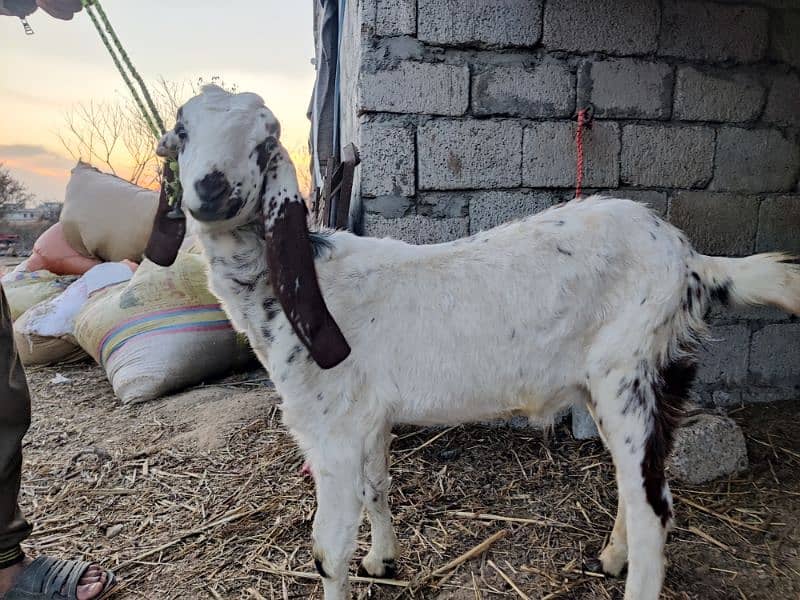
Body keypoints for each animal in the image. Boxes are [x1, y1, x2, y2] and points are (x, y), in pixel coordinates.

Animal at [156, 85, 800, 600]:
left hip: (631, 369)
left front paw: (356, 565)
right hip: (617, 381)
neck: (299, 286)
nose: (210, 190)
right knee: (638, 483)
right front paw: (382, 561)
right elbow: (377, 488)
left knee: (653, 506)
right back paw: (611, 558)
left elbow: (327, 551)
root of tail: (692, 262)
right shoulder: (366, 416)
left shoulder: (330, 428)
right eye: (182, 133)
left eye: (266, 144)